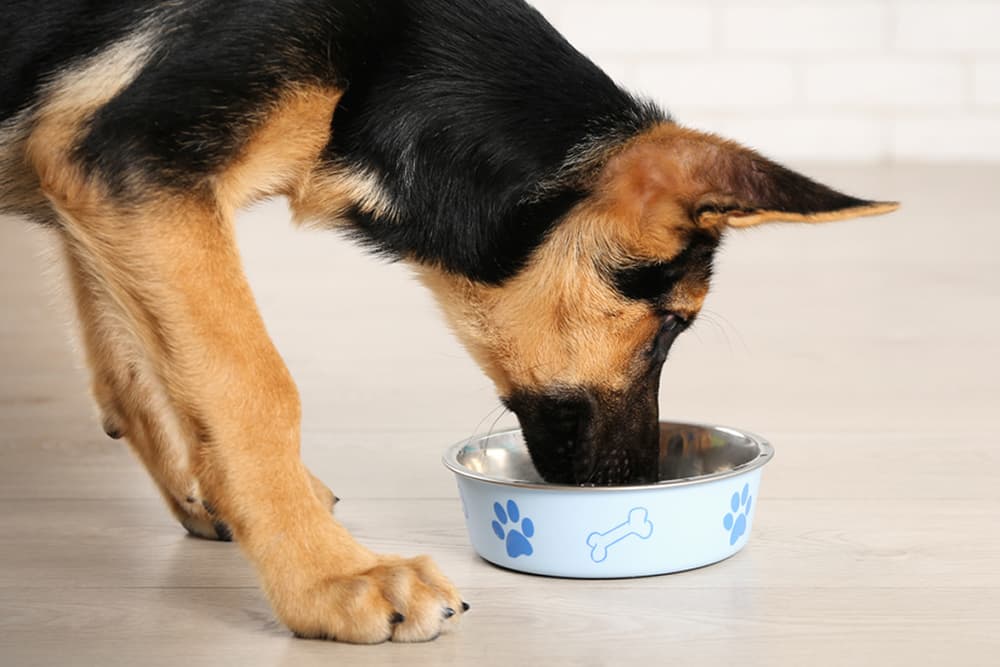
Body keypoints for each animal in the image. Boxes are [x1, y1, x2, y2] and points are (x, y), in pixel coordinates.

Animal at [0, 0, 904, 648]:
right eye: (669, 327)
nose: (639, 485)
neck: (391, 68)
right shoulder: (134, 160)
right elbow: (251, 382)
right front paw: (328, 578)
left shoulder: (96, 185)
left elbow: (137, 362)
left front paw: (220, 494)